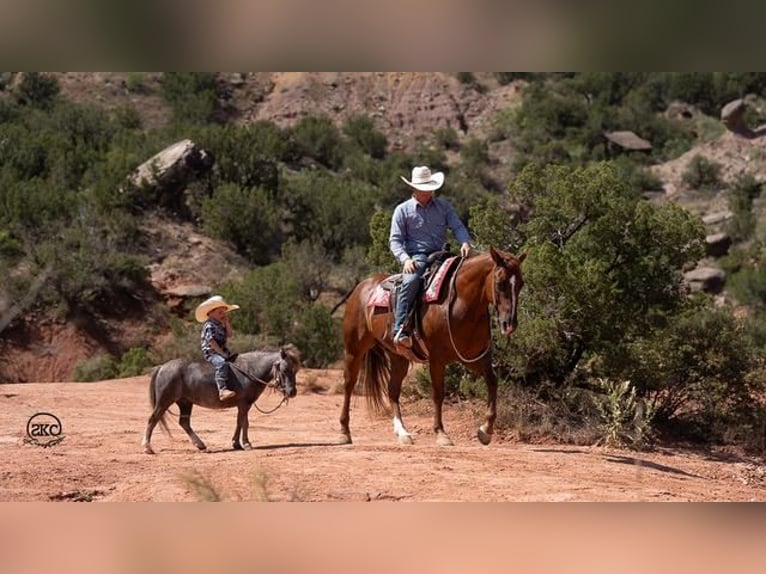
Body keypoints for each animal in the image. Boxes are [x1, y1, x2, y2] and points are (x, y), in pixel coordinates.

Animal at [340, 245, 524, 448]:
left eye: (521, 284)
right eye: (500, 283)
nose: (509, 324)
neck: (460, 303)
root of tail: (362, 287)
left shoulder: (474, 358)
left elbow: (492, 382)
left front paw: (486, 431)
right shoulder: (437, 359)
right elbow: (438, 394)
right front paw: (441, 433)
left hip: (399, 357)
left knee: (393, 390)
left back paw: (403, 433)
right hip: (354, 350)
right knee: (348, 384)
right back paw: (345, 432)